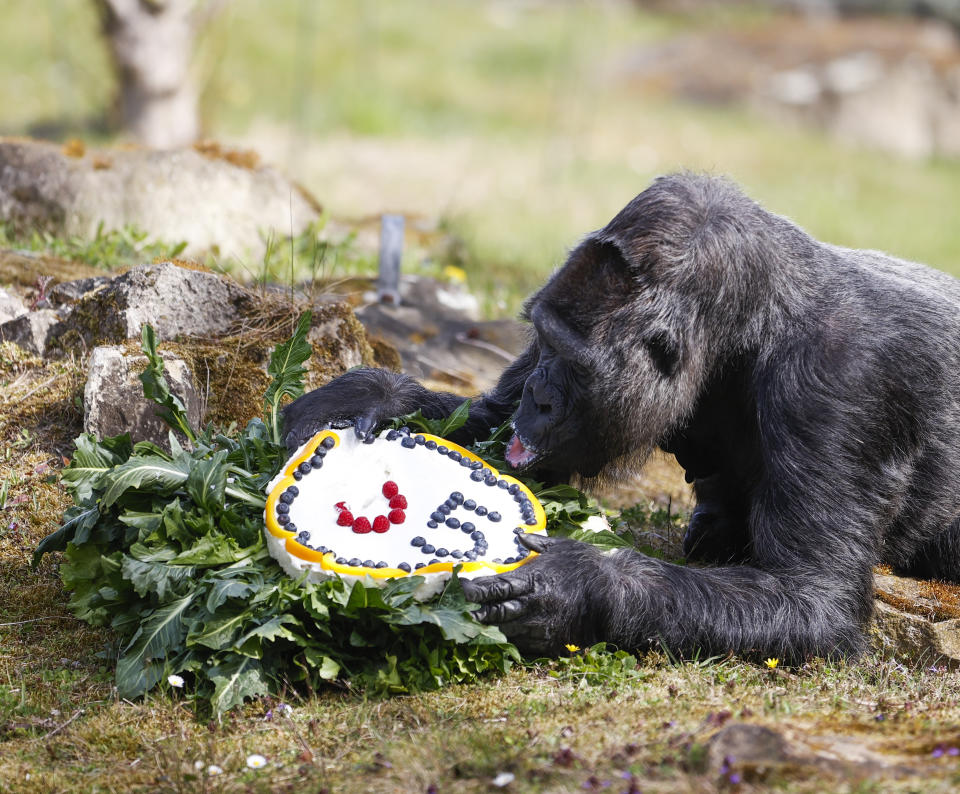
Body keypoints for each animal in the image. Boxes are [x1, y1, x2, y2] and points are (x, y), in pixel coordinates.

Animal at [282, 176, 960, 660]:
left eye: (570, 360)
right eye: (541, 339)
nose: (538, 394)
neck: (753, 330)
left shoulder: (839, 384)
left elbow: (813, 599)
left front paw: (577, 588)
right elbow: (487, 428)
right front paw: (367, 396)